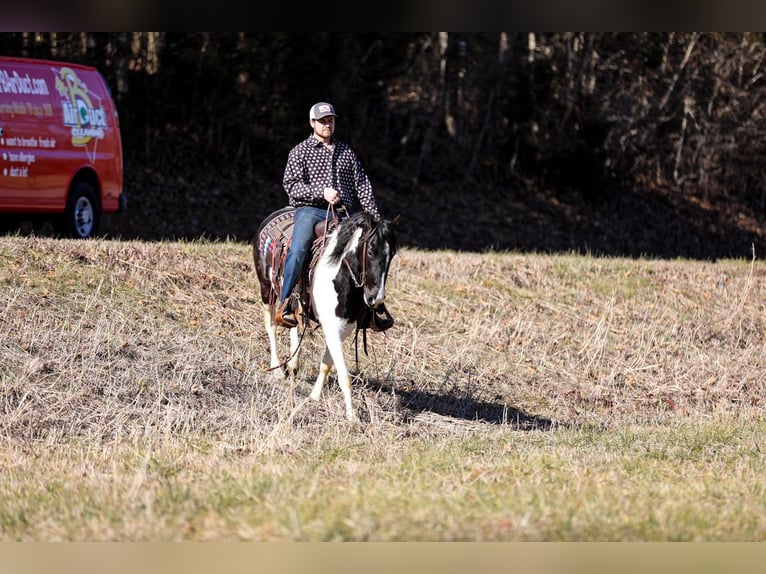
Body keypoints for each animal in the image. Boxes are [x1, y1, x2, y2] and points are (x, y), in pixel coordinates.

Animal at [254, 208, 400, 424]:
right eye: (370, 251)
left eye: (391, 255)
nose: (377, 299)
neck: (340, 277)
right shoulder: (331, 328)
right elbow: (344, 375)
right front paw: (352, 417)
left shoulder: (343, 329)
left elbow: (326, 364)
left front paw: (314, 396)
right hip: (267, 289)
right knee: (270, 325)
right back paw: (277, 369)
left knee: (293, 323)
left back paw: (293, 363)